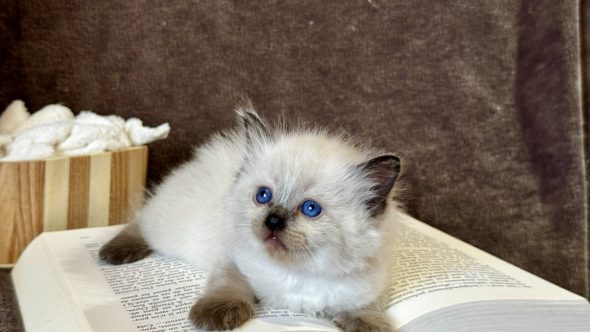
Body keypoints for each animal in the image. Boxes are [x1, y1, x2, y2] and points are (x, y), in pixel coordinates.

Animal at [102, 107, 404, 330]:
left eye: (310, 209)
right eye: (263, 195)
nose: (273, 221)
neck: (299, 274)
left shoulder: (370, 286)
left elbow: (369, 308)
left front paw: (368, 324)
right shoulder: (234, 260)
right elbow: (229, 286)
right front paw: (214, 316)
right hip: (171, 227)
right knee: (140, 221)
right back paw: (114, 253)